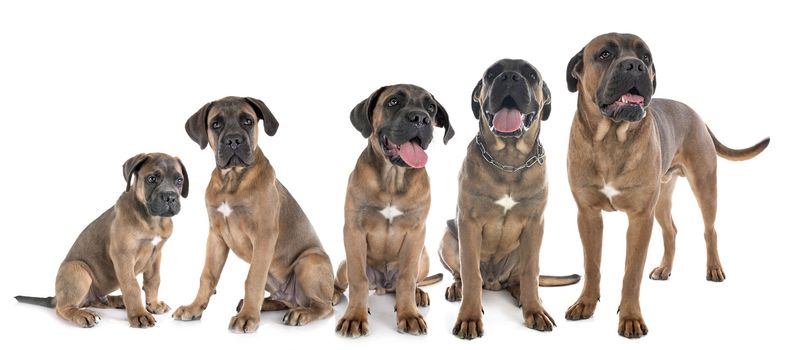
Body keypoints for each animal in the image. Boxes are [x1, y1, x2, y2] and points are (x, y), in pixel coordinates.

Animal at [15, 152, 189, 328]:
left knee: (96, 301)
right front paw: (139, 314)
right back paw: (84, 314)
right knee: (64, 308)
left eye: (179, 180)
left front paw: (153, 305)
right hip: (77, 270)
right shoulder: (123, 255)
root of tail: (56, 297)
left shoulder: (156, 254)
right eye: (151, 178)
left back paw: (118, 301)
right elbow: (132, 286)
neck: (153, 220)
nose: (170, 197)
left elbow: (153, 280)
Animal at [174, 96, 334, 334]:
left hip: (309, 262)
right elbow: (208, 275)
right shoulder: (216, 237)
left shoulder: (264, 236)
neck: (232, 179)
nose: (233, 141)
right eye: (216, 124)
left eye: (247, 121)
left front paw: (247, 317)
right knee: (286, 300)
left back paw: (300, 313)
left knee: (324, 306)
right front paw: (194, 307)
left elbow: (253, 280)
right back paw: (267, 304)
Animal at [438, 58, 580, 340]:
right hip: (447, 236)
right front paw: (469, 316)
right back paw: (457, 289)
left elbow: (531, 272)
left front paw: (535, 310)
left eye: (531, 75)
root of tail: (494, 282)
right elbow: (470, 273)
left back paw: (525, 297)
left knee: (520, 279)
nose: (510, 77)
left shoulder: (535, 224)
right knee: (462, 274)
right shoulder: (468, 223)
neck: (509, 162)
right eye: (491, 74)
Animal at [564, 32, 772, 336]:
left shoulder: (640, 218)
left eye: (646, 57)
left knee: (710, 230)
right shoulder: (588, 215)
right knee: (671, 231)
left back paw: (714, 268)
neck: (611, 139)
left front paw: (630, 317)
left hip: (704, 186)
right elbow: (592, 265)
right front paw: (585, 304)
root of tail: (697, 115)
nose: (635, 66)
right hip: (661, 200)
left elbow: (632, 272)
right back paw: (664, 268)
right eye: (604, 54)